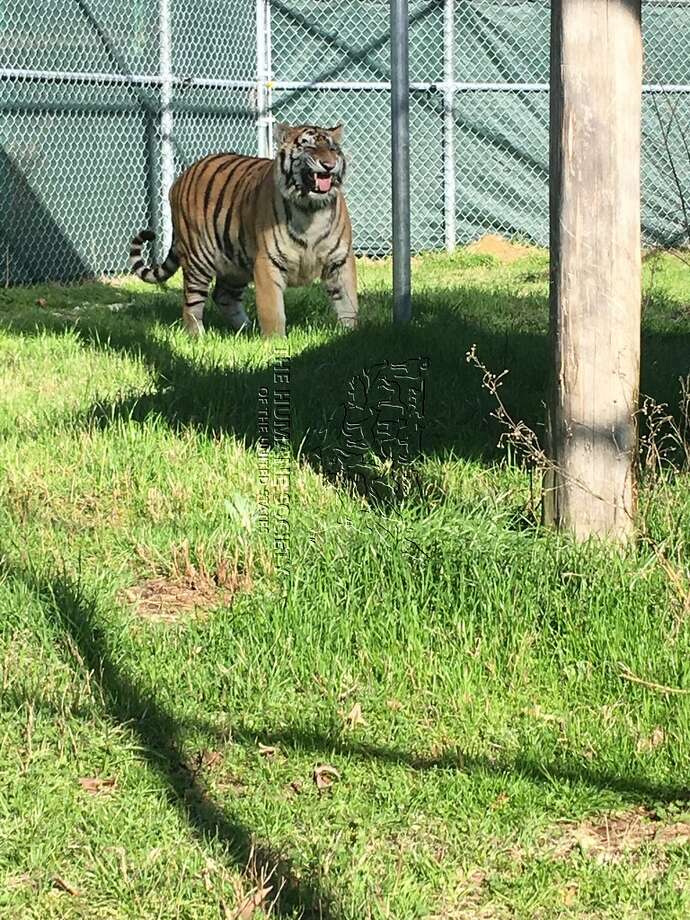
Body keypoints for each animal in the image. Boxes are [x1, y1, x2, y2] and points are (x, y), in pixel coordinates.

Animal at [129, 122, 358, 337]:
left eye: (332, 148)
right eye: (308, 146)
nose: (329, 165)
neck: (311, 209)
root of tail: (180, 178)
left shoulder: (340, 260)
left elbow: (348, 302)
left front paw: (351, 334)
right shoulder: (267, 261)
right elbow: (272, 308)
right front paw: (275, 341)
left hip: (235, 262)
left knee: (223, 296)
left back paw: (247, 329)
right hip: (198, 260)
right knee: (191, 302)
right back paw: (198, 335)